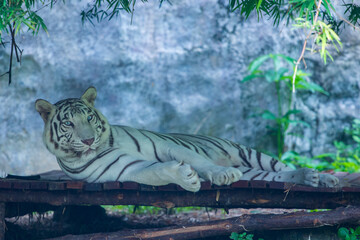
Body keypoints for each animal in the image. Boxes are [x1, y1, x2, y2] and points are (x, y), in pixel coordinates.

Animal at [33, 86, 338, 191]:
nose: (87, 141)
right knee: (275, 177)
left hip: (251, 154)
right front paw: (187, 178)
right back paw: (311, 178)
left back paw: (322, 177)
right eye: (69, 123)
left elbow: (198, 160)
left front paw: (222, 175)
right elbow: (154, 172)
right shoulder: (124, 168)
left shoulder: (165, 144)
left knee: (284, 167)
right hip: (254, 172)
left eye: (89, 118)